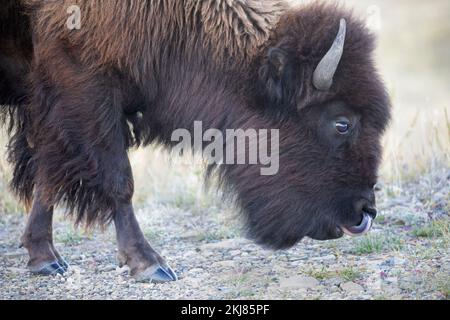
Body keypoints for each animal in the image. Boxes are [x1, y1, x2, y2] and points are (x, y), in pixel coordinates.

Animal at [0, 0, 390, 282]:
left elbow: (49, 178)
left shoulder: (52, 107)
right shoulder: (82, 87)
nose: (365, 212)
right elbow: (118, 180)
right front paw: (150, 264)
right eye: (342, 123)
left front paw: (44, 257)